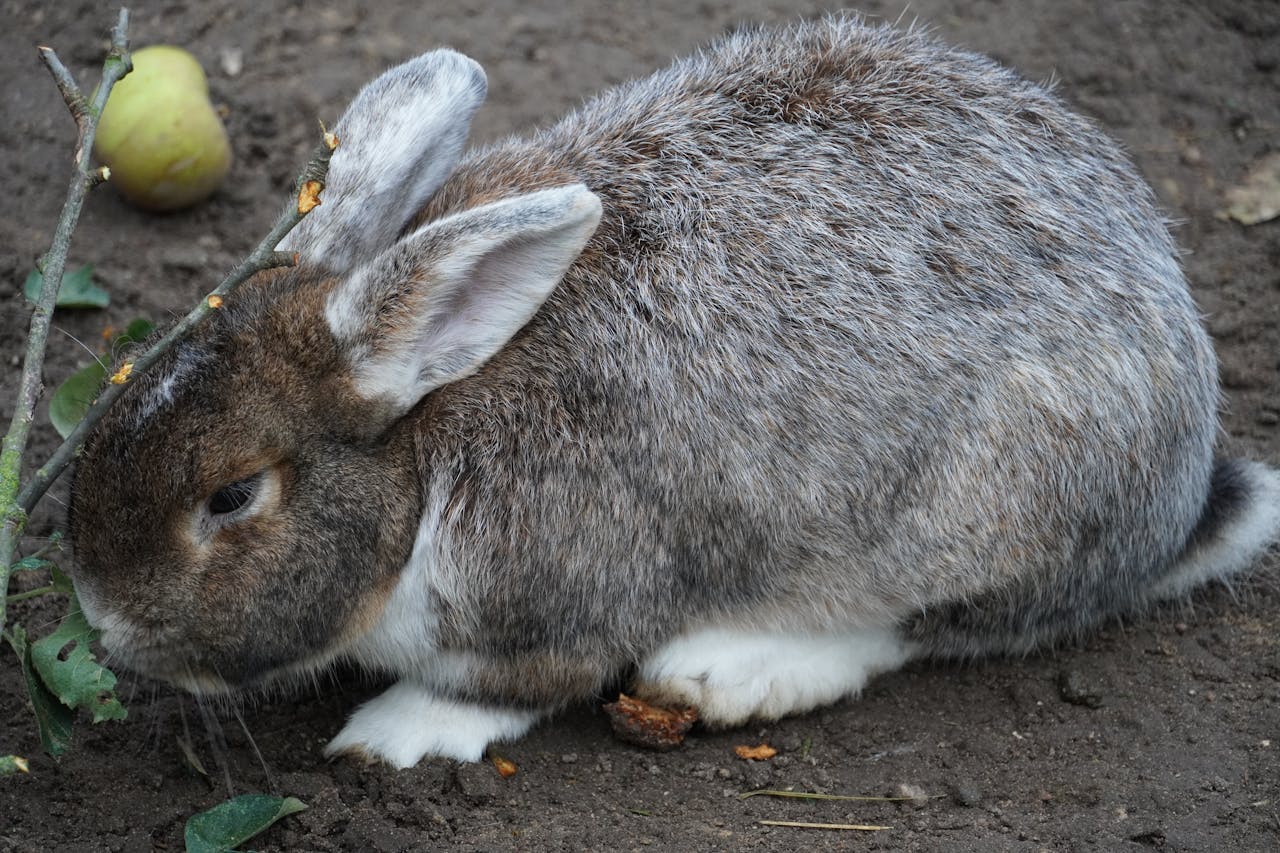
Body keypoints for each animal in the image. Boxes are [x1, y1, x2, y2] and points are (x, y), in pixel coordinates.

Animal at [68, 16, 1280, 769]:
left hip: (990, 503)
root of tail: (1182, 494)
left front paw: (392, 734)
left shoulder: (557, 603)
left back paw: (731, 671)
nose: (104, 622)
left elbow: (501, 687)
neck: (423, 446)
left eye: (232, 496)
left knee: (924, 629)